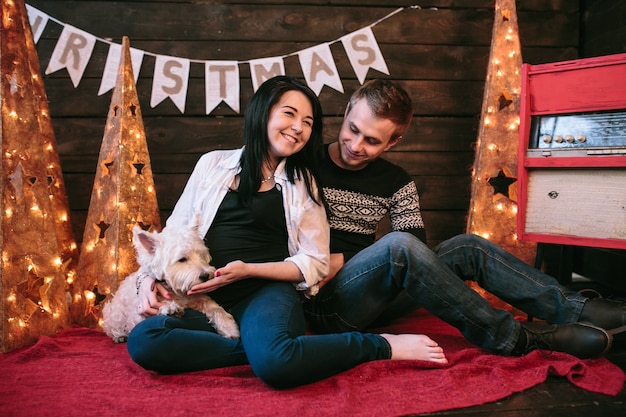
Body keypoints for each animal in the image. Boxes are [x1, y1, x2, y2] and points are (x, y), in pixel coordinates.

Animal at [102, 224, 239, 342]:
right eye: (182, 259)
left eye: (200, 255)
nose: (206, 276)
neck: (176, 291)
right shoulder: (139, 314)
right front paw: (169, 307)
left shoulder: (198, 298)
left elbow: (216, 308)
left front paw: (230, 328)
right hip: (113, 313)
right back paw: (120, 336)